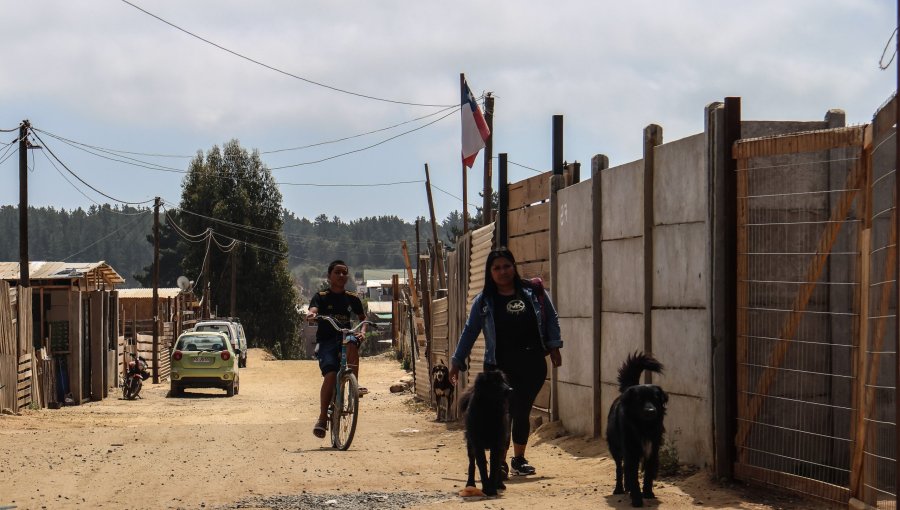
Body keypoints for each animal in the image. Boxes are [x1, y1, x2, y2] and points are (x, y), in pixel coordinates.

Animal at [460, 368, 510, 496]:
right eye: (494, 382)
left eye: (503, 381)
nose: (510, 390)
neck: (489, 411)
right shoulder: (477, 444)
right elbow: (482, 465)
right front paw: (487, 488)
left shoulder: (497, 444)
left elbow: (494, 466)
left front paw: (492, 488)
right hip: (470, 445)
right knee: (472, 464)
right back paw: (470, 483)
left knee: (499, 465)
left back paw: (500, 484)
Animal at [608, 352, 664, 508]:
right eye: (639, 400)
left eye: (655, 399)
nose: (651, 411)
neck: (644, 427)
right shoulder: (631, 451)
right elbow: (632, 476)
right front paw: (637, 499)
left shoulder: (652, 450)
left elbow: (648, 473)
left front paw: (648, 493)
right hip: (616, 448)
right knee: (619, 468)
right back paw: (619, 489)